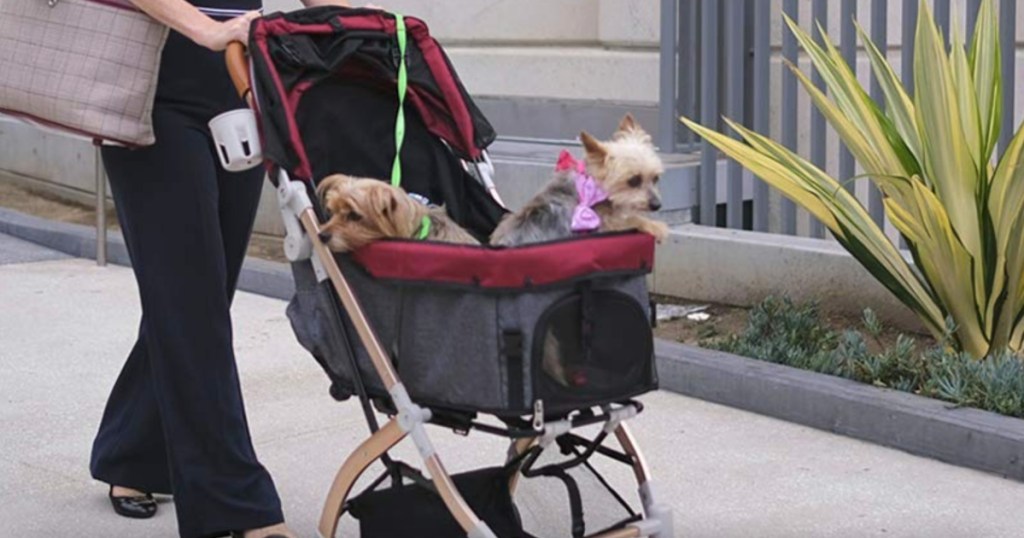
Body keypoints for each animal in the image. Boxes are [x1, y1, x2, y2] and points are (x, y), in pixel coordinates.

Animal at [489, 115, 671, 247]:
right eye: (633, 181)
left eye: (655, 178)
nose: (657, 205)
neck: (593, 185)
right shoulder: (603, 226)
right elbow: (630, 220)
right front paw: (655, 226)